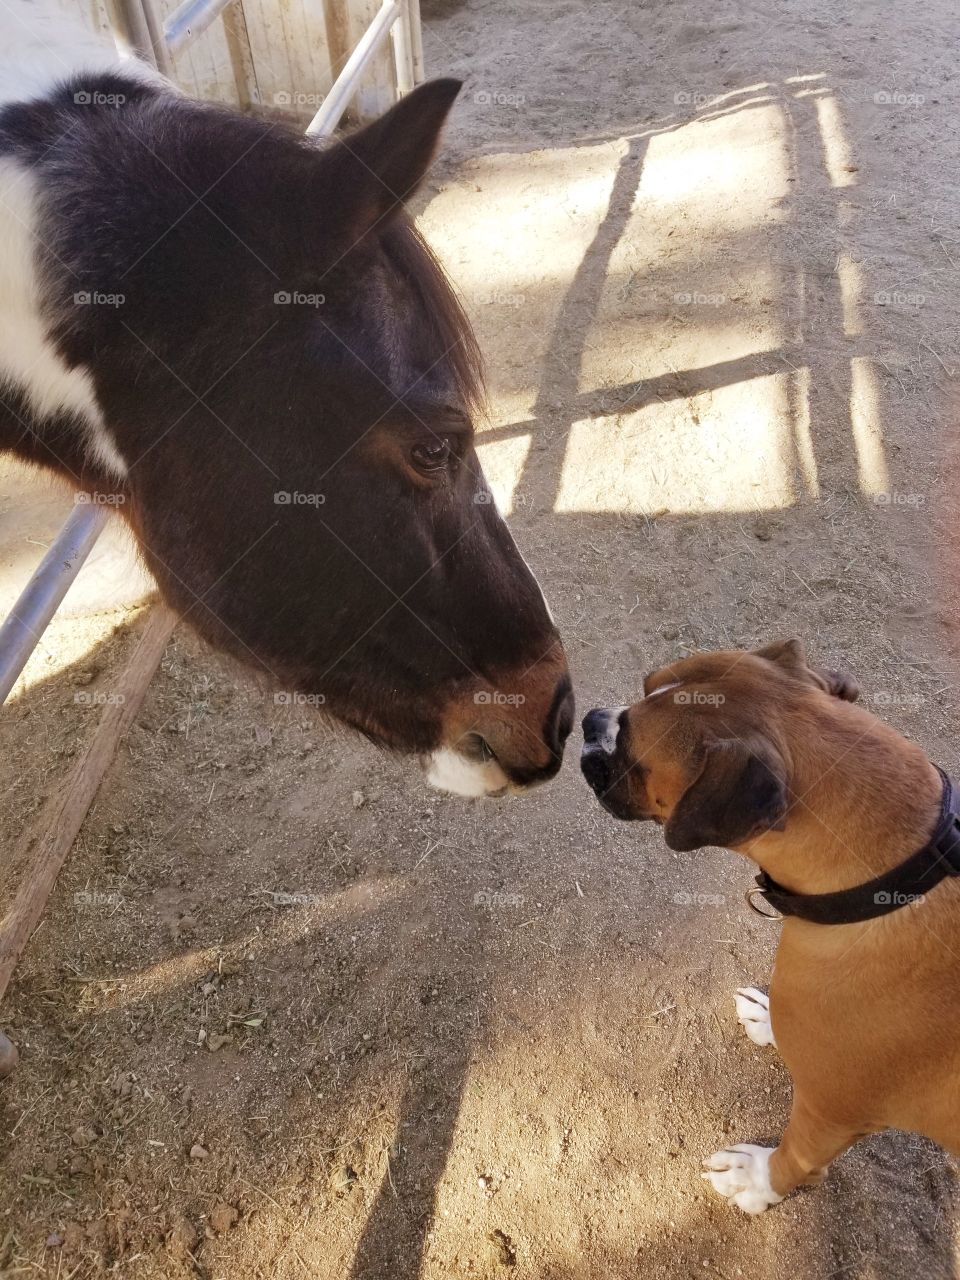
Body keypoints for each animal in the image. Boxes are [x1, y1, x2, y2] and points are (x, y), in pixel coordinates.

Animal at [578, 637, 960, 1208]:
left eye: (632, 752)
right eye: (646, 686)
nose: (590, 720)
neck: (907, 876)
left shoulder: (832, 1110)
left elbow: (797, 1157)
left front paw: (757, 1182)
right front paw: (768, 1019)